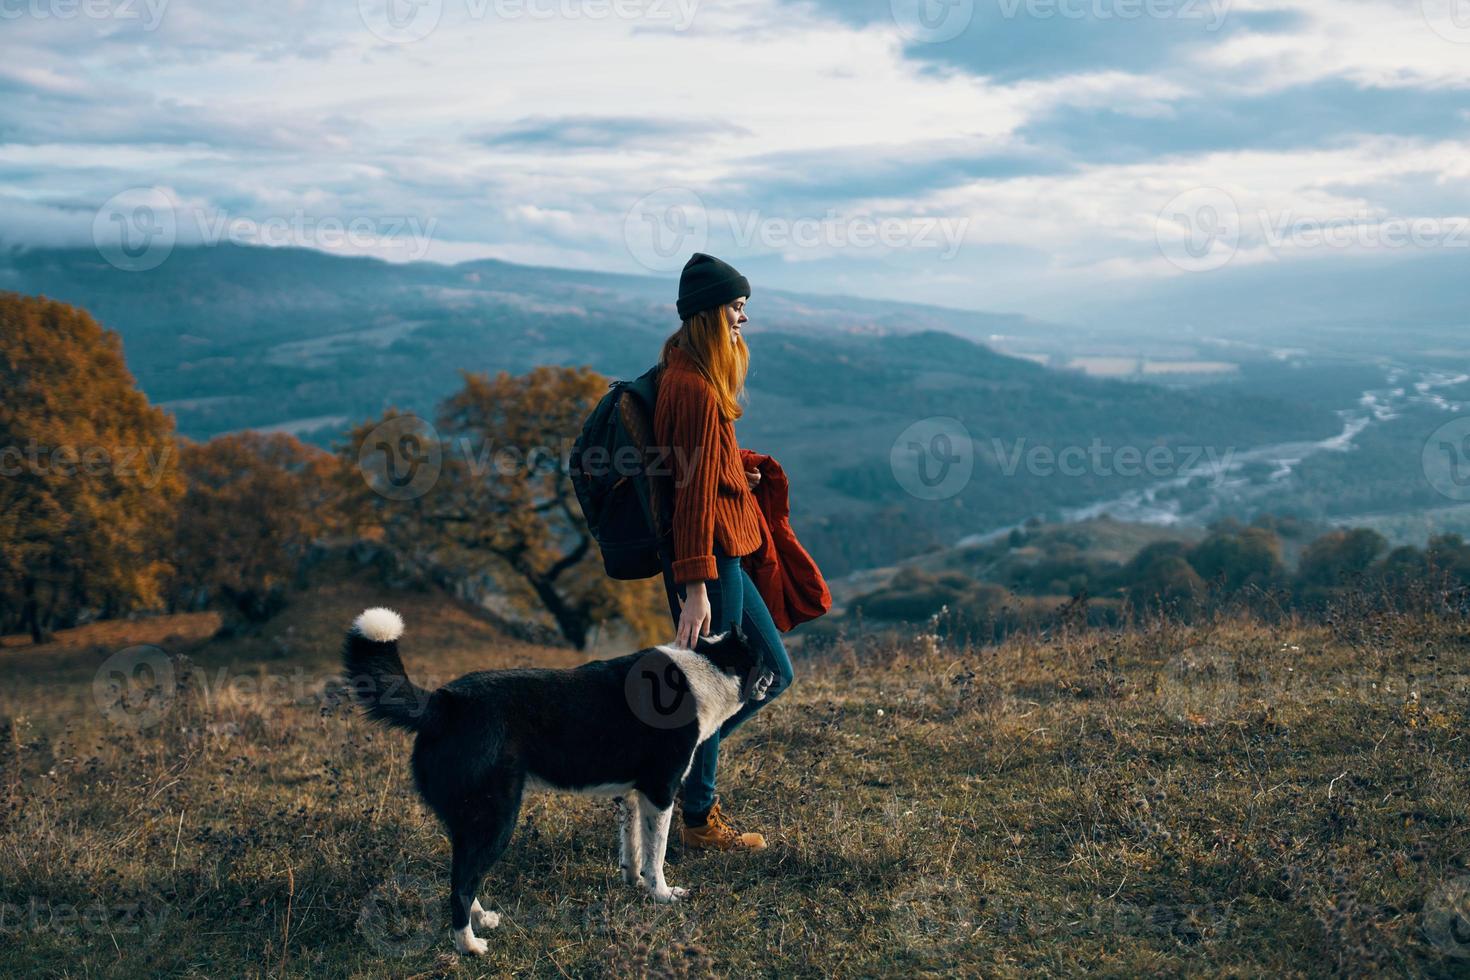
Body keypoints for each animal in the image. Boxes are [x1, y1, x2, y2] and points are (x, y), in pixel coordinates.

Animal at [339, 608, 776, 952]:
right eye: (761, 656)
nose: (774, 674)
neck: (713, 664)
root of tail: (443, 703)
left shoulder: (634, 795)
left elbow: (633, 847)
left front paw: (632, 882)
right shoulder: (661, 791)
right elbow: (657, 854)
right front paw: (663, 895)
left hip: (471, 821)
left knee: (462, 874)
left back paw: (482, 920)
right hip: (497, 818)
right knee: (460, 885)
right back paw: (470, 946)